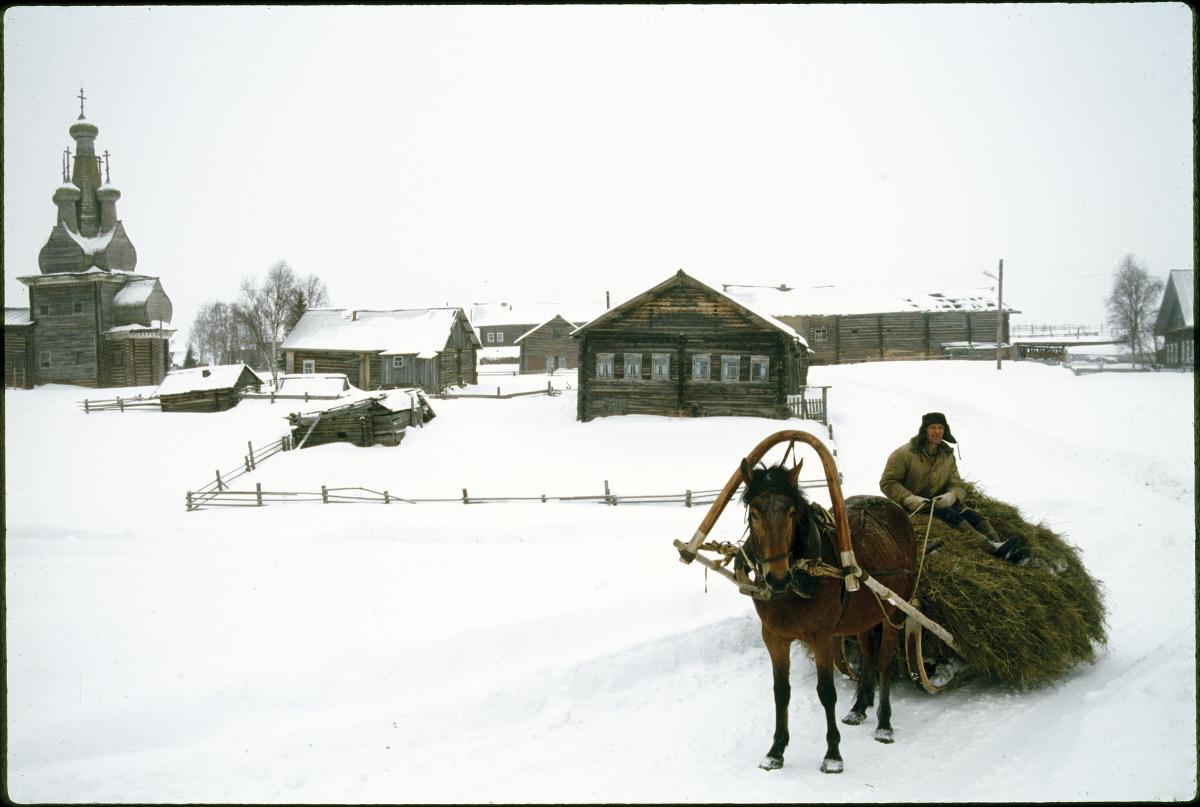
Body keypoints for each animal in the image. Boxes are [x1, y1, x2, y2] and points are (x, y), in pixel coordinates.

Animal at [739, 456, 916, 773]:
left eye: (791, 511)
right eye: (754, 514)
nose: (777, 578)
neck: (802, 578)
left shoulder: (821, 638)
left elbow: (826, 692)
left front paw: (833, 754)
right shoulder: (774, 637)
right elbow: (781, 691)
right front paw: (776, 750)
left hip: (896, 608)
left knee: (884, 661)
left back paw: (884, 723)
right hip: (863, 614)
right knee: (869, 653)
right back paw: (859, 707)